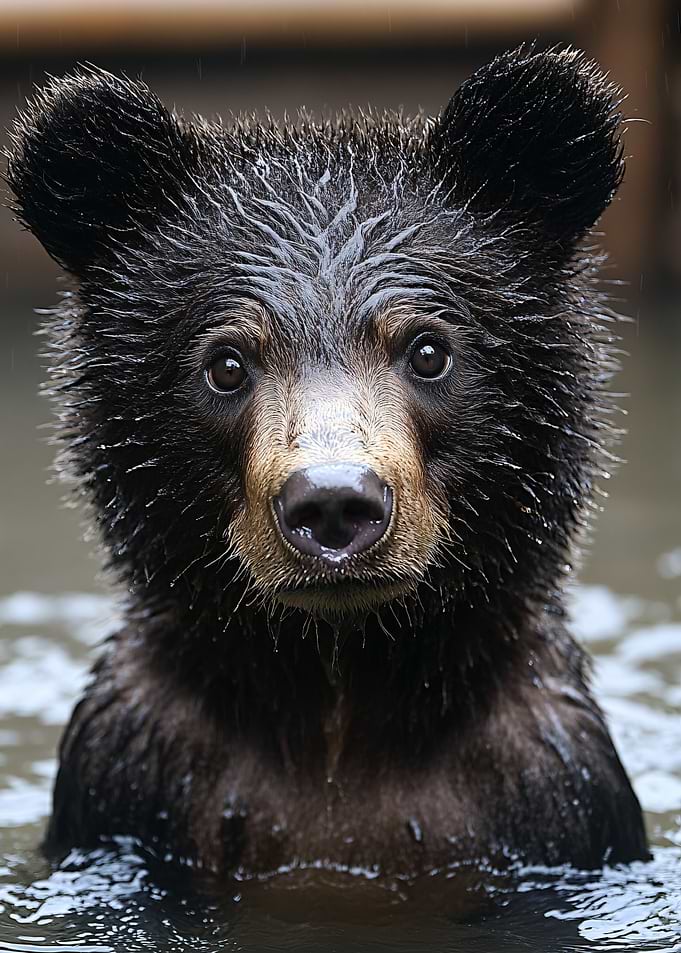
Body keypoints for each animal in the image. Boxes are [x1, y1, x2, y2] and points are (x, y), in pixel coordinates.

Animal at [6, 46, 649, 878]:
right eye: (226, 363)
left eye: (428, 349)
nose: (335, 501)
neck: (337, 685)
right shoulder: (129, 777)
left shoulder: (550, 786)